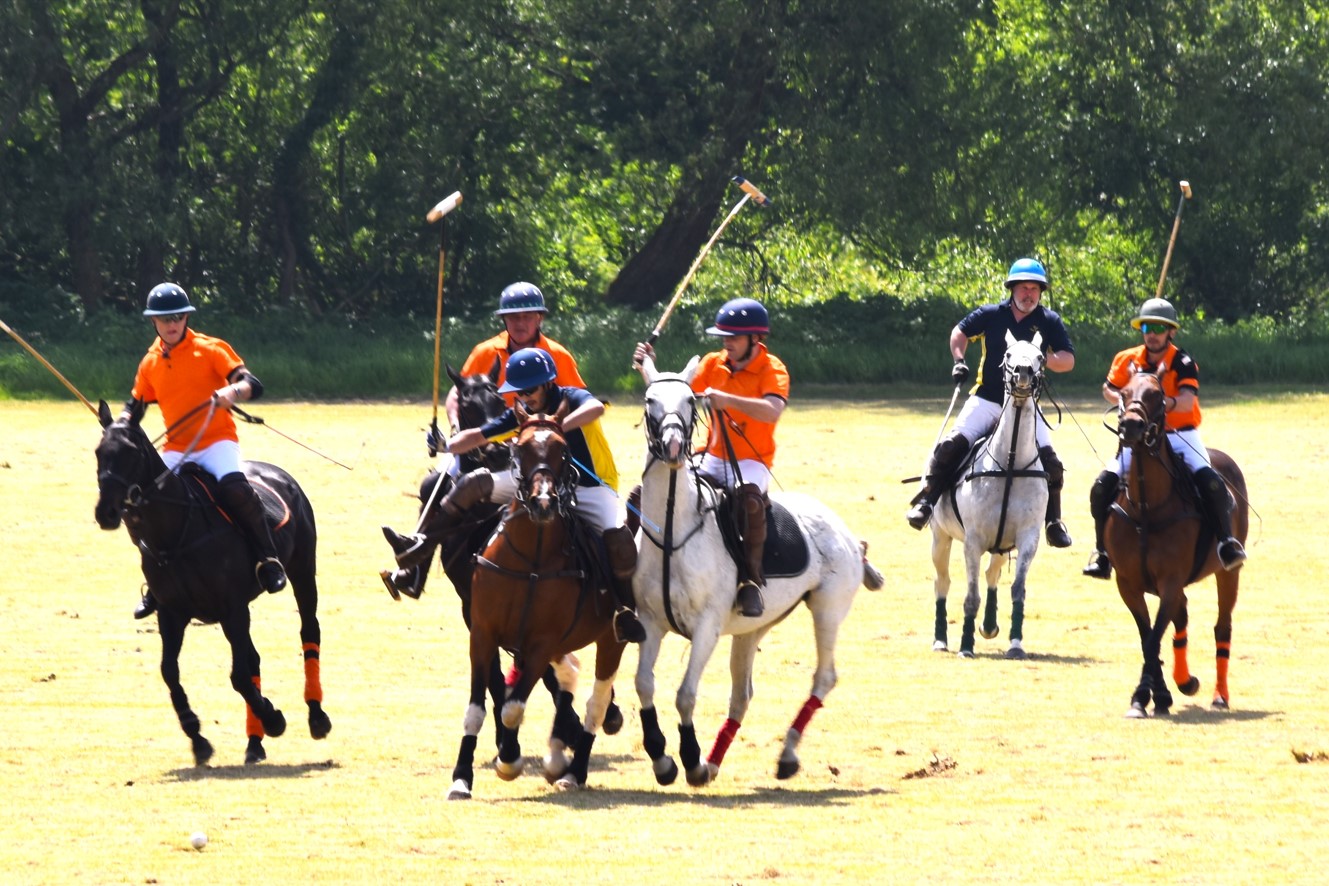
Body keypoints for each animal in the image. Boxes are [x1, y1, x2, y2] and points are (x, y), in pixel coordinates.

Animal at [443, 406, 624, 802]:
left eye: (563, 451)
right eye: (520, 449)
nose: (543, 503)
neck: (532, 558)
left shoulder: (542, 642)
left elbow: (513, 708)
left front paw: (509, 760)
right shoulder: (483, 634)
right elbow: (477, 709)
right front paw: (461, 779)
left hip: (611, 639)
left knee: (597, 701)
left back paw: (574, 771)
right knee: (569, 676)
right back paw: (557, 756)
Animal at [632, 355, 882, 786]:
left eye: (690, 400)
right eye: (650, 401)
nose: (674, 447)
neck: (673, 529)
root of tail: (848, 533)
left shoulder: (707, 625)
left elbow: (685, 694)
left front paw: (690, 760)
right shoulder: (649, 621)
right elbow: (644, 685)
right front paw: (663, 760)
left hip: (828, 608)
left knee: (824, 677)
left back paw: (785, 756)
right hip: (754, 627)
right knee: (742, 694)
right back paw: (715, 761)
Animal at [935, 330, 1047, 658]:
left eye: (1040, 356)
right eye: (1008, 354)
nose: (1023, 374)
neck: (1010, 463)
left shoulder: (1028, 537)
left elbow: (1018, 589)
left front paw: (1016, 643)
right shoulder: (972, 540)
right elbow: (970, 595)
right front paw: (966, 646)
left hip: (1001, 546)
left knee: (992, 575)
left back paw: (989, 625)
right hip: (940, 536)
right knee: (942, 582)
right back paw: (940, 639)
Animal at [1105, 371, 1249, 717]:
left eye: (1157, 395)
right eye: (1124, 392)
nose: (1131, 425)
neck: (1146, 506)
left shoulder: (1170, 580)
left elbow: (1153, 637)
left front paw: (1146, 695)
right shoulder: (1128, 584)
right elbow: (1148, 636)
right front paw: (1152, 696)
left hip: (1228, 573)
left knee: (1222, 627)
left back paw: (1219, 695)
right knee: (1181, 619)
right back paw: (1183, 681)